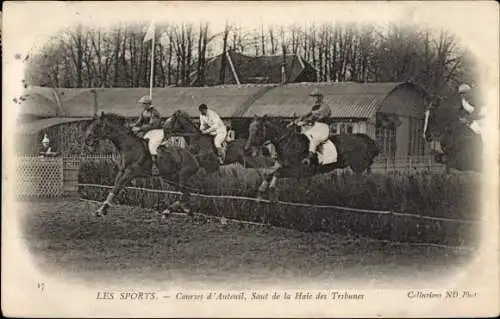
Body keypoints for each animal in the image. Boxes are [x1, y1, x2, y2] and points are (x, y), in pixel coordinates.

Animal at [243, 115, 378, 200]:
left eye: (258, 130)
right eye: (249, 129)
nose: (247, 149)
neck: (289, 143)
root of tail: (363, 138)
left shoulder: (297, 170)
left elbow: (277, 173)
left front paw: (271, 192)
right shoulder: (284, 166)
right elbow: (268, 173)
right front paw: (261, 193)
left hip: (358, 166)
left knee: (363, 179)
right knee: (365, 178)